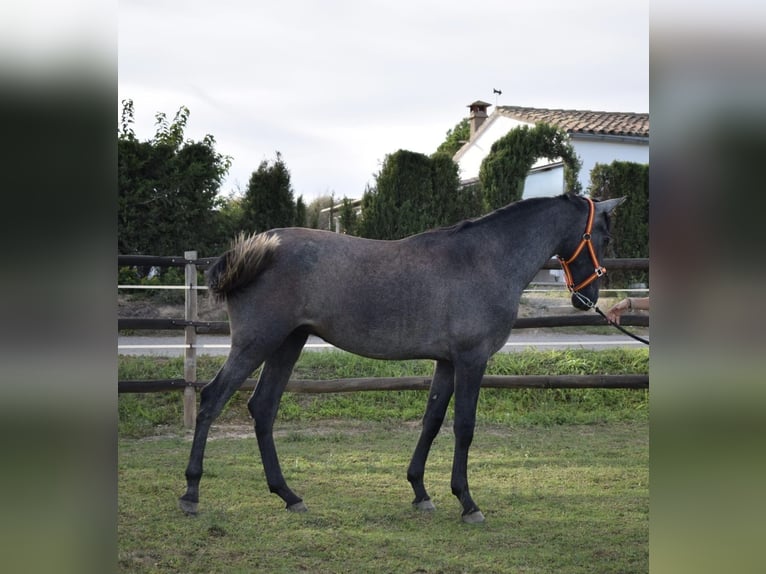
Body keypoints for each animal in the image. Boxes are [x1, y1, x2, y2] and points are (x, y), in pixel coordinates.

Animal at [180, 192, 624, 520]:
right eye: (605, 239)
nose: (588, 298)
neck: (484, 259)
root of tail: (255, 248)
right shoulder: (471, 360)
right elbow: (464, 426)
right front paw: (467, 502)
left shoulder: (447, 362)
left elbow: (432, 421)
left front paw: (420, 491)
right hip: (257, 343)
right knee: (213, 399)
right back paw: (191, 492)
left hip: (288, 343)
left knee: (263, 407)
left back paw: (288, 495)